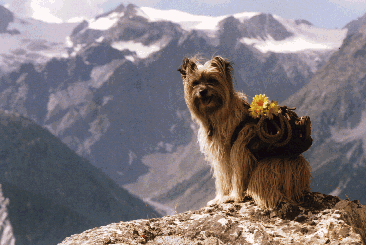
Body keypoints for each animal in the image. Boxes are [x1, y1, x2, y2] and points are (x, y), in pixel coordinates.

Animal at [180, 56, 312, 209]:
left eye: (212, 80)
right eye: (195, 83)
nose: (202, 91)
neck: (218, 113)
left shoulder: (239, 147)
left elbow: (236, 175)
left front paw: (232, 196)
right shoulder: (220, 156)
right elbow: (222, 178)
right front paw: (220, 197)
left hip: (269, 165)